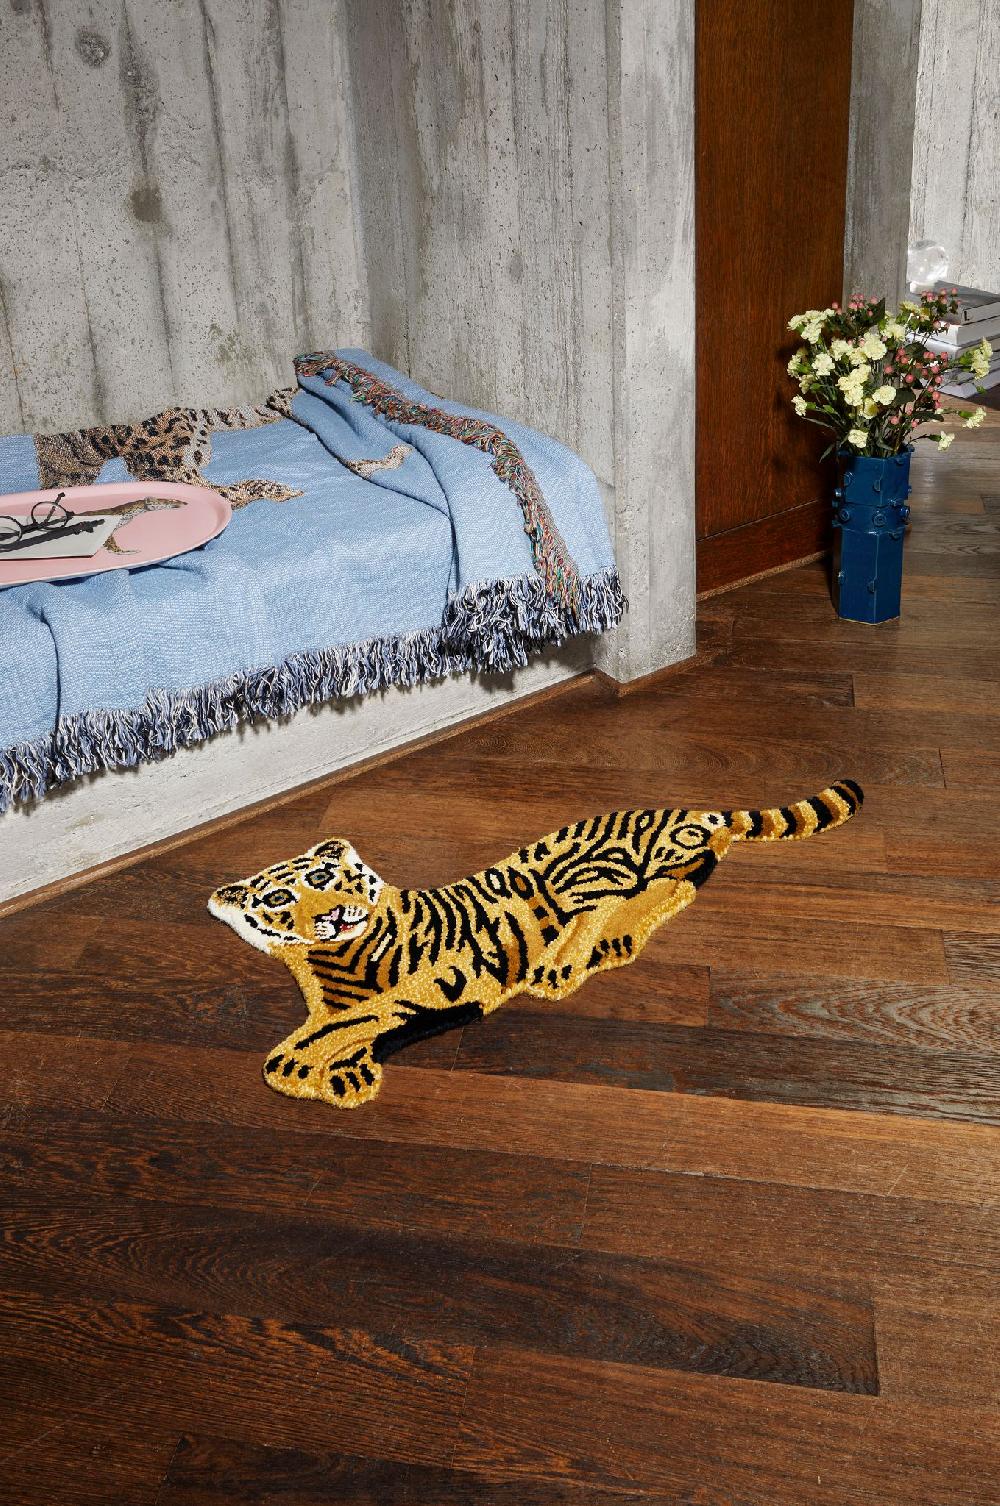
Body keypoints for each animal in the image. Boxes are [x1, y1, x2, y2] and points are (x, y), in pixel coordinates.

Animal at [208, 780, 863, 1109]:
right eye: (278, 899)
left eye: (325, 878)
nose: (335, 916)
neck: (333, 957)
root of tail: (679, 808)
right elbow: (350, 1022)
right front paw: (342, 1072)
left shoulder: (448, 979)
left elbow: (359, 1019)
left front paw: (301, 1062)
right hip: (648, 869)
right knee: (675, 884)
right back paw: (614, 941)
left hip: (576, 871)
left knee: (612, 903)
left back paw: (566, 961)